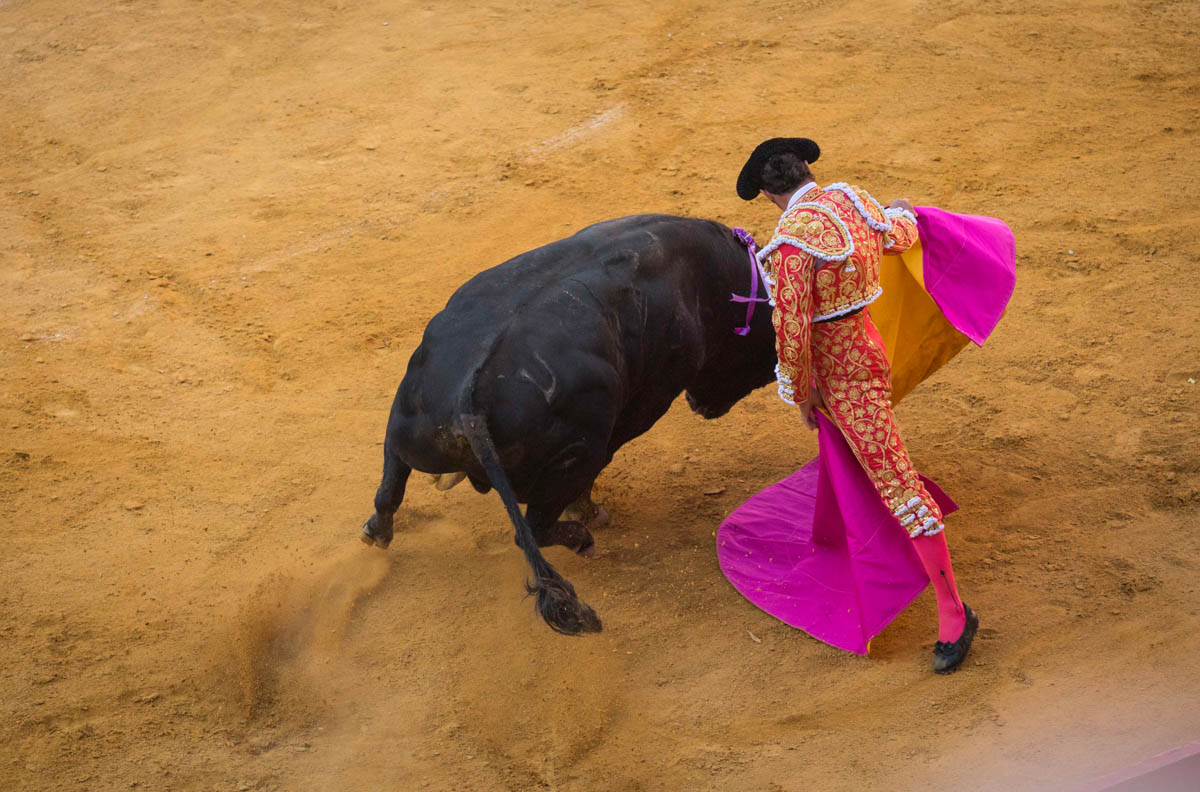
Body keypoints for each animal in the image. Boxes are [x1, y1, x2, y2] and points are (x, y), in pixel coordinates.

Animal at [357, 214, 777, 638]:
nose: (704, 406)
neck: (712, 275)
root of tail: (467, 401)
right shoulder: (650, 398)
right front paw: (585, 512)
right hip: (576, 456)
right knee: (534, 526)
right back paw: (585, 535)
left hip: (403, 431)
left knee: (389, 488)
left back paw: (379, 530)